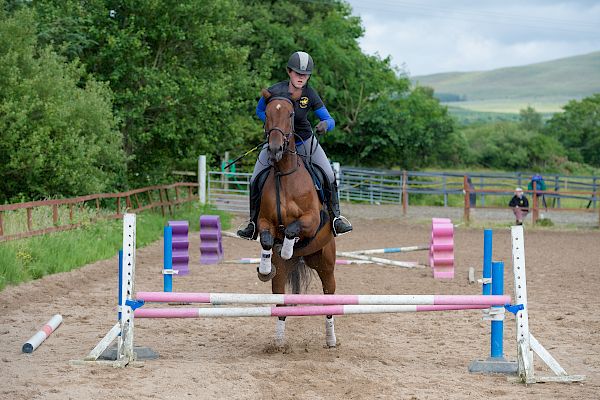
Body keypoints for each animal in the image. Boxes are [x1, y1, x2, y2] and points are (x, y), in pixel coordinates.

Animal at [254, 88, 338, 346]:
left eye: (291, 114)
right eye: (268, 113)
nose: (274, 150)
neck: (285, 174)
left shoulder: (312, 220)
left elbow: (293, 228)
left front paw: (288, 248)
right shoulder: (264, 221)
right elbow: (267, 239)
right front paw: (265, 266)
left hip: (326, 264)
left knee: (330, 298)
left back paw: (331, 339)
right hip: (284, 275)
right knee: (280, 301)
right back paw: (279, 341)